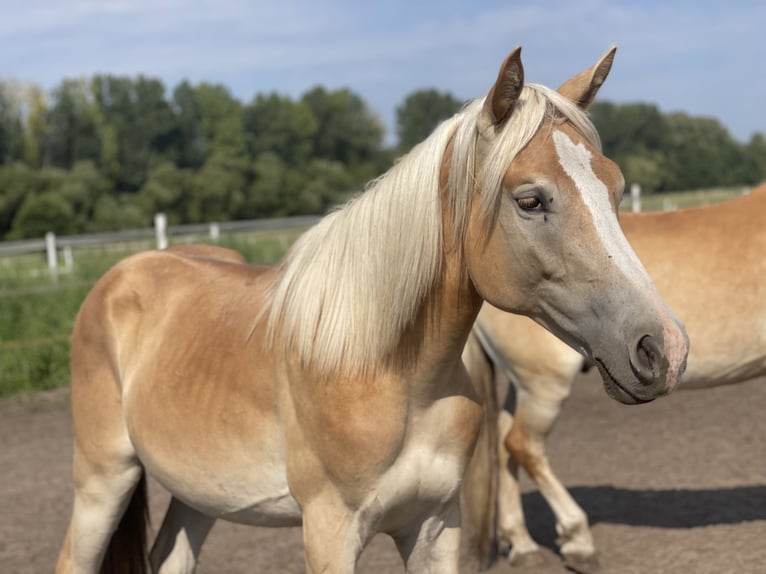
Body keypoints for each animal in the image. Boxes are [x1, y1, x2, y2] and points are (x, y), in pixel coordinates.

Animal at [55, 47, 688, 574]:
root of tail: (120, 277)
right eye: (530, 200)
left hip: (198, 496)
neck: (386, 372)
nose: (664, 348)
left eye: (615, 187)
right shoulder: (330, 533)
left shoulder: (434, 527)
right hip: (103, 480)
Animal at [462, 183, 766, 572]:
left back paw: (522, 544)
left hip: (525, 384)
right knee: (523, 444)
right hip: (545, 384)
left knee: (504, 445)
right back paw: (578, 541)